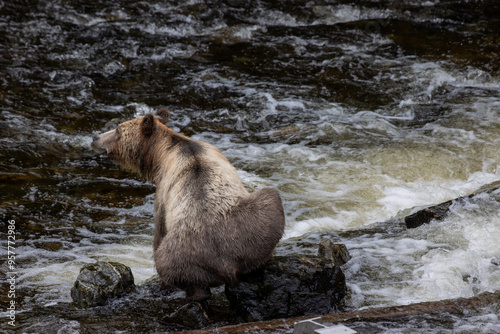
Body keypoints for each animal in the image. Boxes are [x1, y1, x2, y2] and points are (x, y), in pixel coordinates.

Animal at [91, 108, 286, 302]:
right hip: (254, 231)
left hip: (184, 253)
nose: (95, 137)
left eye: (117, 130)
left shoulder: (163, 191)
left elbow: (159, 229)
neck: (160, 153)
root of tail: (227, 265)